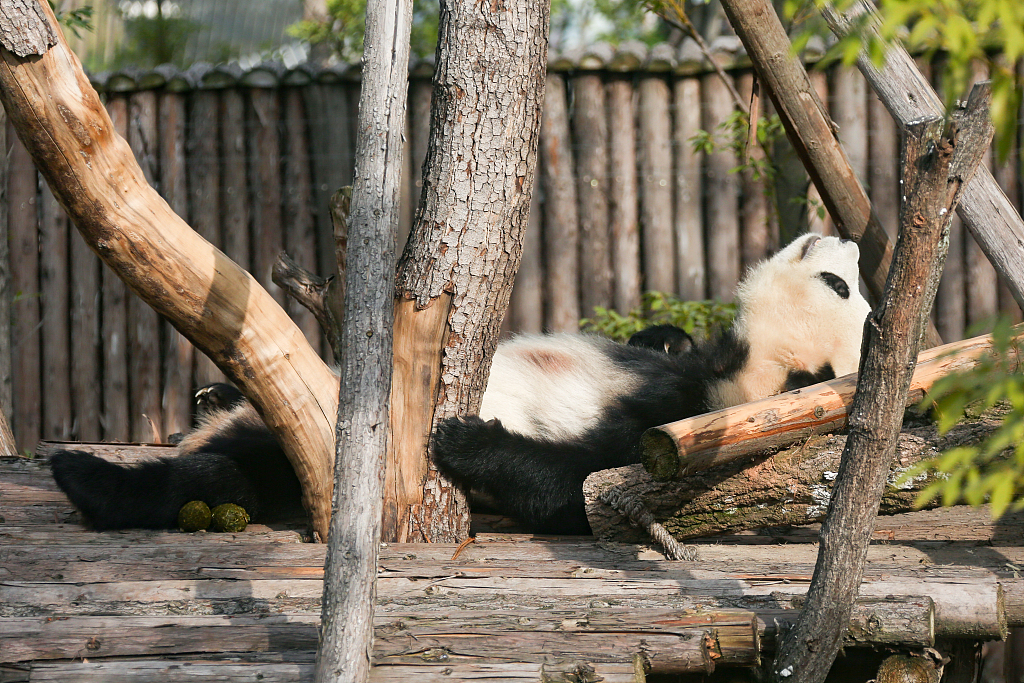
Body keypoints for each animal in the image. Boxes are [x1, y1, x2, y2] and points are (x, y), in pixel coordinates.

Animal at [48, 232, 864, 536]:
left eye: (838, 285)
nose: (844, 237)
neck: (737, 375)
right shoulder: (690, 378)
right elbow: (659, 343)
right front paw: (662, 331)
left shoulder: (692, 430)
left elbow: (580, 485)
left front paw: (467, 440)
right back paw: (208, 402)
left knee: (227, 473)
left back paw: (85, 475)